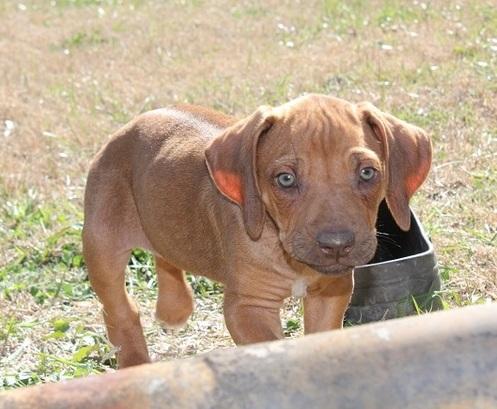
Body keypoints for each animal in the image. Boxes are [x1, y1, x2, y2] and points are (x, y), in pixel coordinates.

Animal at [81, 93, 430, 366]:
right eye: (285, 179)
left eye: (368, 173)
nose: (337, 245)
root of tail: (131, 126)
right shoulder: (247, 307)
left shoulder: (332, 289)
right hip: (101, 244)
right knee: (120, 310)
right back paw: (134, 363)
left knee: (166, 251)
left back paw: (174, 307)